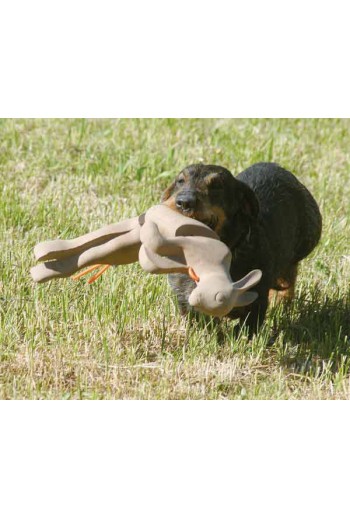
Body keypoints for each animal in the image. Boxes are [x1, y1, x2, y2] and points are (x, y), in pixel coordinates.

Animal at [161, 162, 322, 338]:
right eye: (180, 181)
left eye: (217, 185)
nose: (184, 202)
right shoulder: (185, 299)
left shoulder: (256, 299)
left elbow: (247, 327)